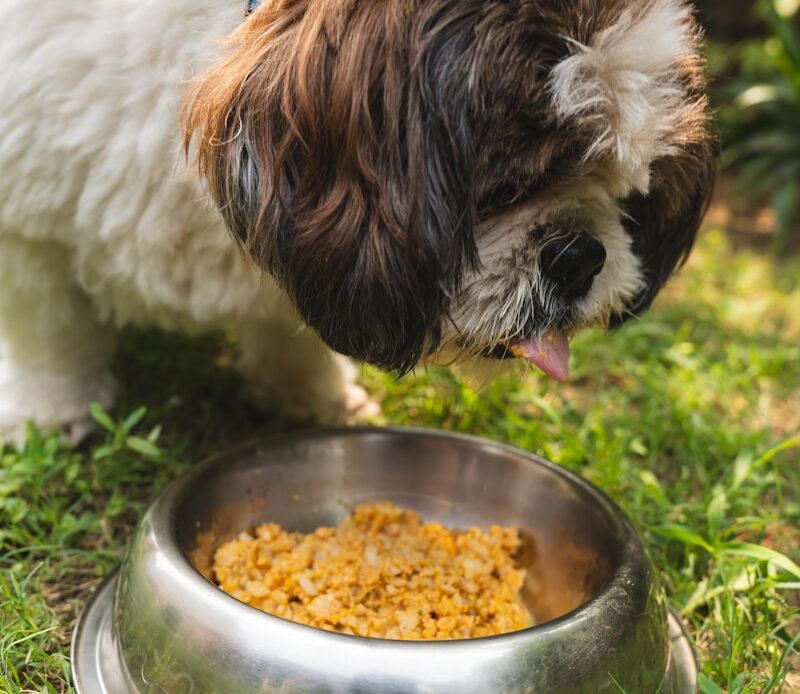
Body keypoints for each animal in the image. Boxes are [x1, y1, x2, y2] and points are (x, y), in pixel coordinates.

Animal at [0, 0, 712, 446]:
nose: (580, 256)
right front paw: (51, 408)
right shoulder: (28, 223)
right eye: (510, 186)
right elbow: (49, 327)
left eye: (629, 186)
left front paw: (312, 394)